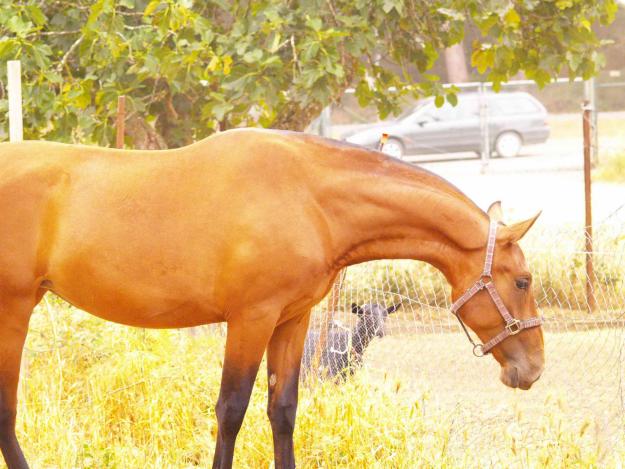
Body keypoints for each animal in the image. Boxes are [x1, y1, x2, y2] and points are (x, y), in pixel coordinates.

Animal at [0, 129, 540, 468]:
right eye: (522, 281)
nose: (532, 368)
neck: (308, 198)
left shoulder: (292, 320)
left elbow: (282, 410)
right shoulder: (251, 319)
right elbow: (231, 410)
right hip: (12, 312)